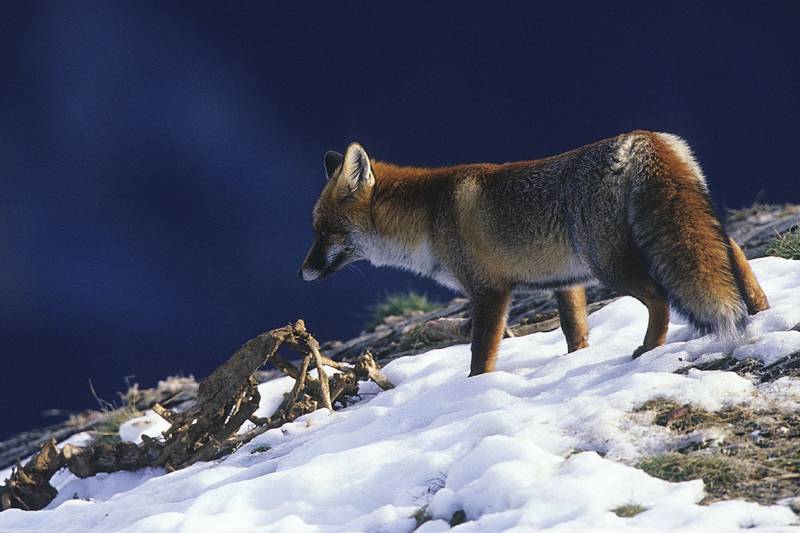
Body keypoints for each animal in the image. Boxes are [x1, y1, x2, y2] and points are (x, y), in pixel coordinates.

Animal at [300, 130, 768, 374]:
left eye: (324, 233)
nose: (302, 273)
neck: (430, 216)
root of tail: (642, 137)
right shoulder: (564, 282)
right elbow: (574, 332)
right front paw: (575, 361)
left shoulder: (489, 292)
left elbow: (480, 356)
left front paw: (477, 388)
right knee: (733, 249)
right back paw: (762, 310)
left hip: (611, 263)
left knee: (659, 298)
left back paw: (649, 348)